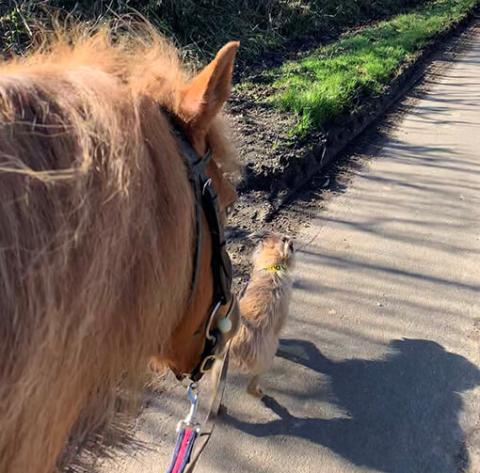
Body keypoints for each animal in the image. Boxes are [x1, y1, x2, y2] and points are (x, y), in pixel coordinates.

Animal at [228, 234, 292, 396]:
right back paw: (257, 392)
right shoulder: (280, 319)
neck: (273, 269)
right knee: (253, 382)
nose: (289, 240)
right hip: (265, 359)